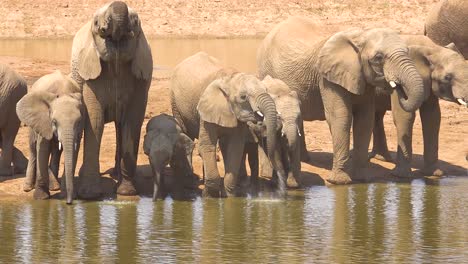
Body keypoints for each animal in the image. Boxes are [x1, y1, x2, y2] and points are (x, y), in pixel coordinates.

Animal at [15, 70, 83, 204]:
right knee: (33, 148)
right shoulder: (43, 120)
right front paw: (41, 198)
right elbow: (42, 148)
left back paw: (55, 186)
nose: (69, 202)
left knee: (56, 150)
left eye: (78, 122)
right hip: (32, 122)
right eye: (54, 122)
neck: (64, 92)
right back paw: (28, 187)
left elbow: (73, 150)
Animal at [70, 0, 153, 198]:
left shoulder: (140, 80)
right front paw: (90, 195)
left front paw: (127, 193)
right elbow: (95, 121)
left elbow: (132, 122)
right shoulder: (91, 76)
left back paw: (116, 175)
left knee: (120, 127)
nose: (105, 28)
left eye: (136, 22)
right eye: (95, 23)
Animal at [172, 51, 282, 197]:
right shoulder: (206, 108)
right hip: (175, 103)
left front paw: (230, 196)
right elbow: (207, 145)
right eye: (243, 97)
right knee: (187, 134)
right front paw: (209, 196)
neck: (231, 79)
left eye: (266, 89)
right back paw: (189, 183)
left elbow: (234, 147)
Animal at [258, 16, 426, 185]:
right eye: (378, 58)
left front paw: (362, 179)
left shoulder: (362, 78)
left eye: (408, 52)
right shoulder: (328, 78)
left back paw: (306, 159)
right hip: (265, 70)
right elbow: (340, 117)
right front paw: (340, 182)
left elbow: (365, 120)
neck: (361, 35)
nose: (398, 87)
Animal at [372, 35, 468, 177]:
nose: (466, 157)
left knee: (377, 114)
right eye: (447, 77)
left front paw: (435, 174)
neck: (433, 49)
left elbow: (432, 117)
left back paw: (382, 158)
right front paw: (401, 176)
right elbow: (404, 116)